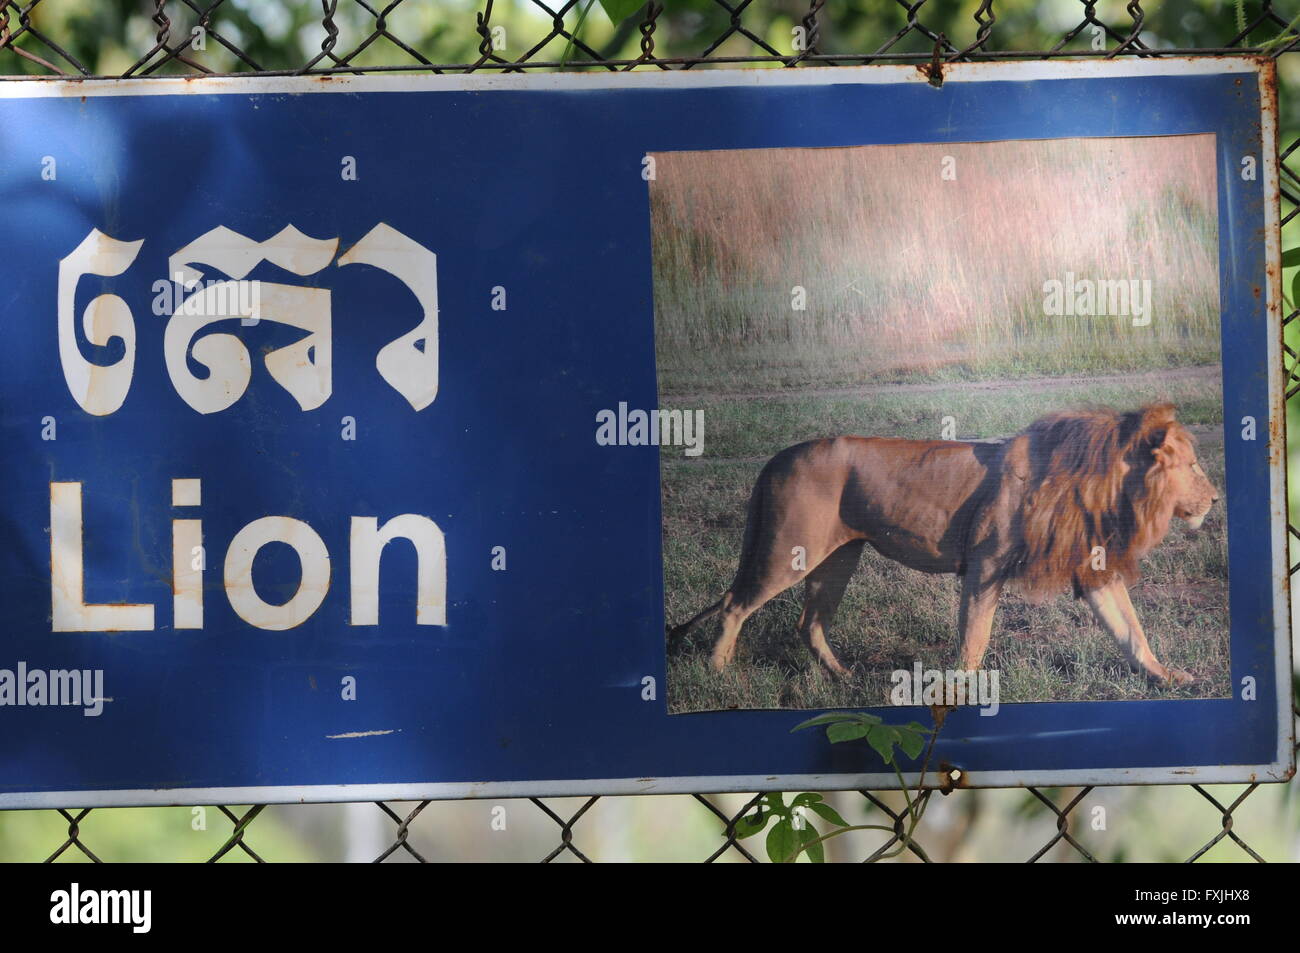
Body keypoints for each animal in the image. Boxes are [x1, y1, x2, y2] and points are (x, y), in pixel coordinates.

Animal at [667, 403, 1219, 685]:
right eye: (1193, 465)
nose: (1215, 498)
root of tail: (777, 457)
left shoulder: (1094, 568)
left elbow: (1131, 630)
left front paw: (1169, 677)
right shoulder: (985, 565)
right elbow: (974, 637)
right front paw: (963, 689)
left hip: (838, 557)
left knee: (809, 623)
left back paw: (844, 676)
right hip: (788, 550)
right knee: (735, 604)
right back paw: (718, 672)